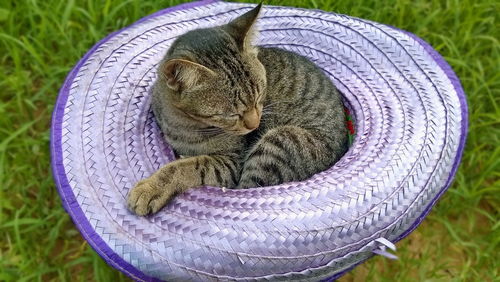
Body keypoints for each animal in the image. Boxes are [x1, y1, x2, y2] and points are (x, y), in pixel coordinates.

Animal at [128, 3, 348, 216]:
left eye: (260, 96)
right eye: (230, 114)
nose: (255, 124)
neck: (184, 125)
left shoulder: (231, 163)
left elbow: (188, 166)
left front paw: (150, 188)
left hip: (280, 141)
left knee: (245, 187)